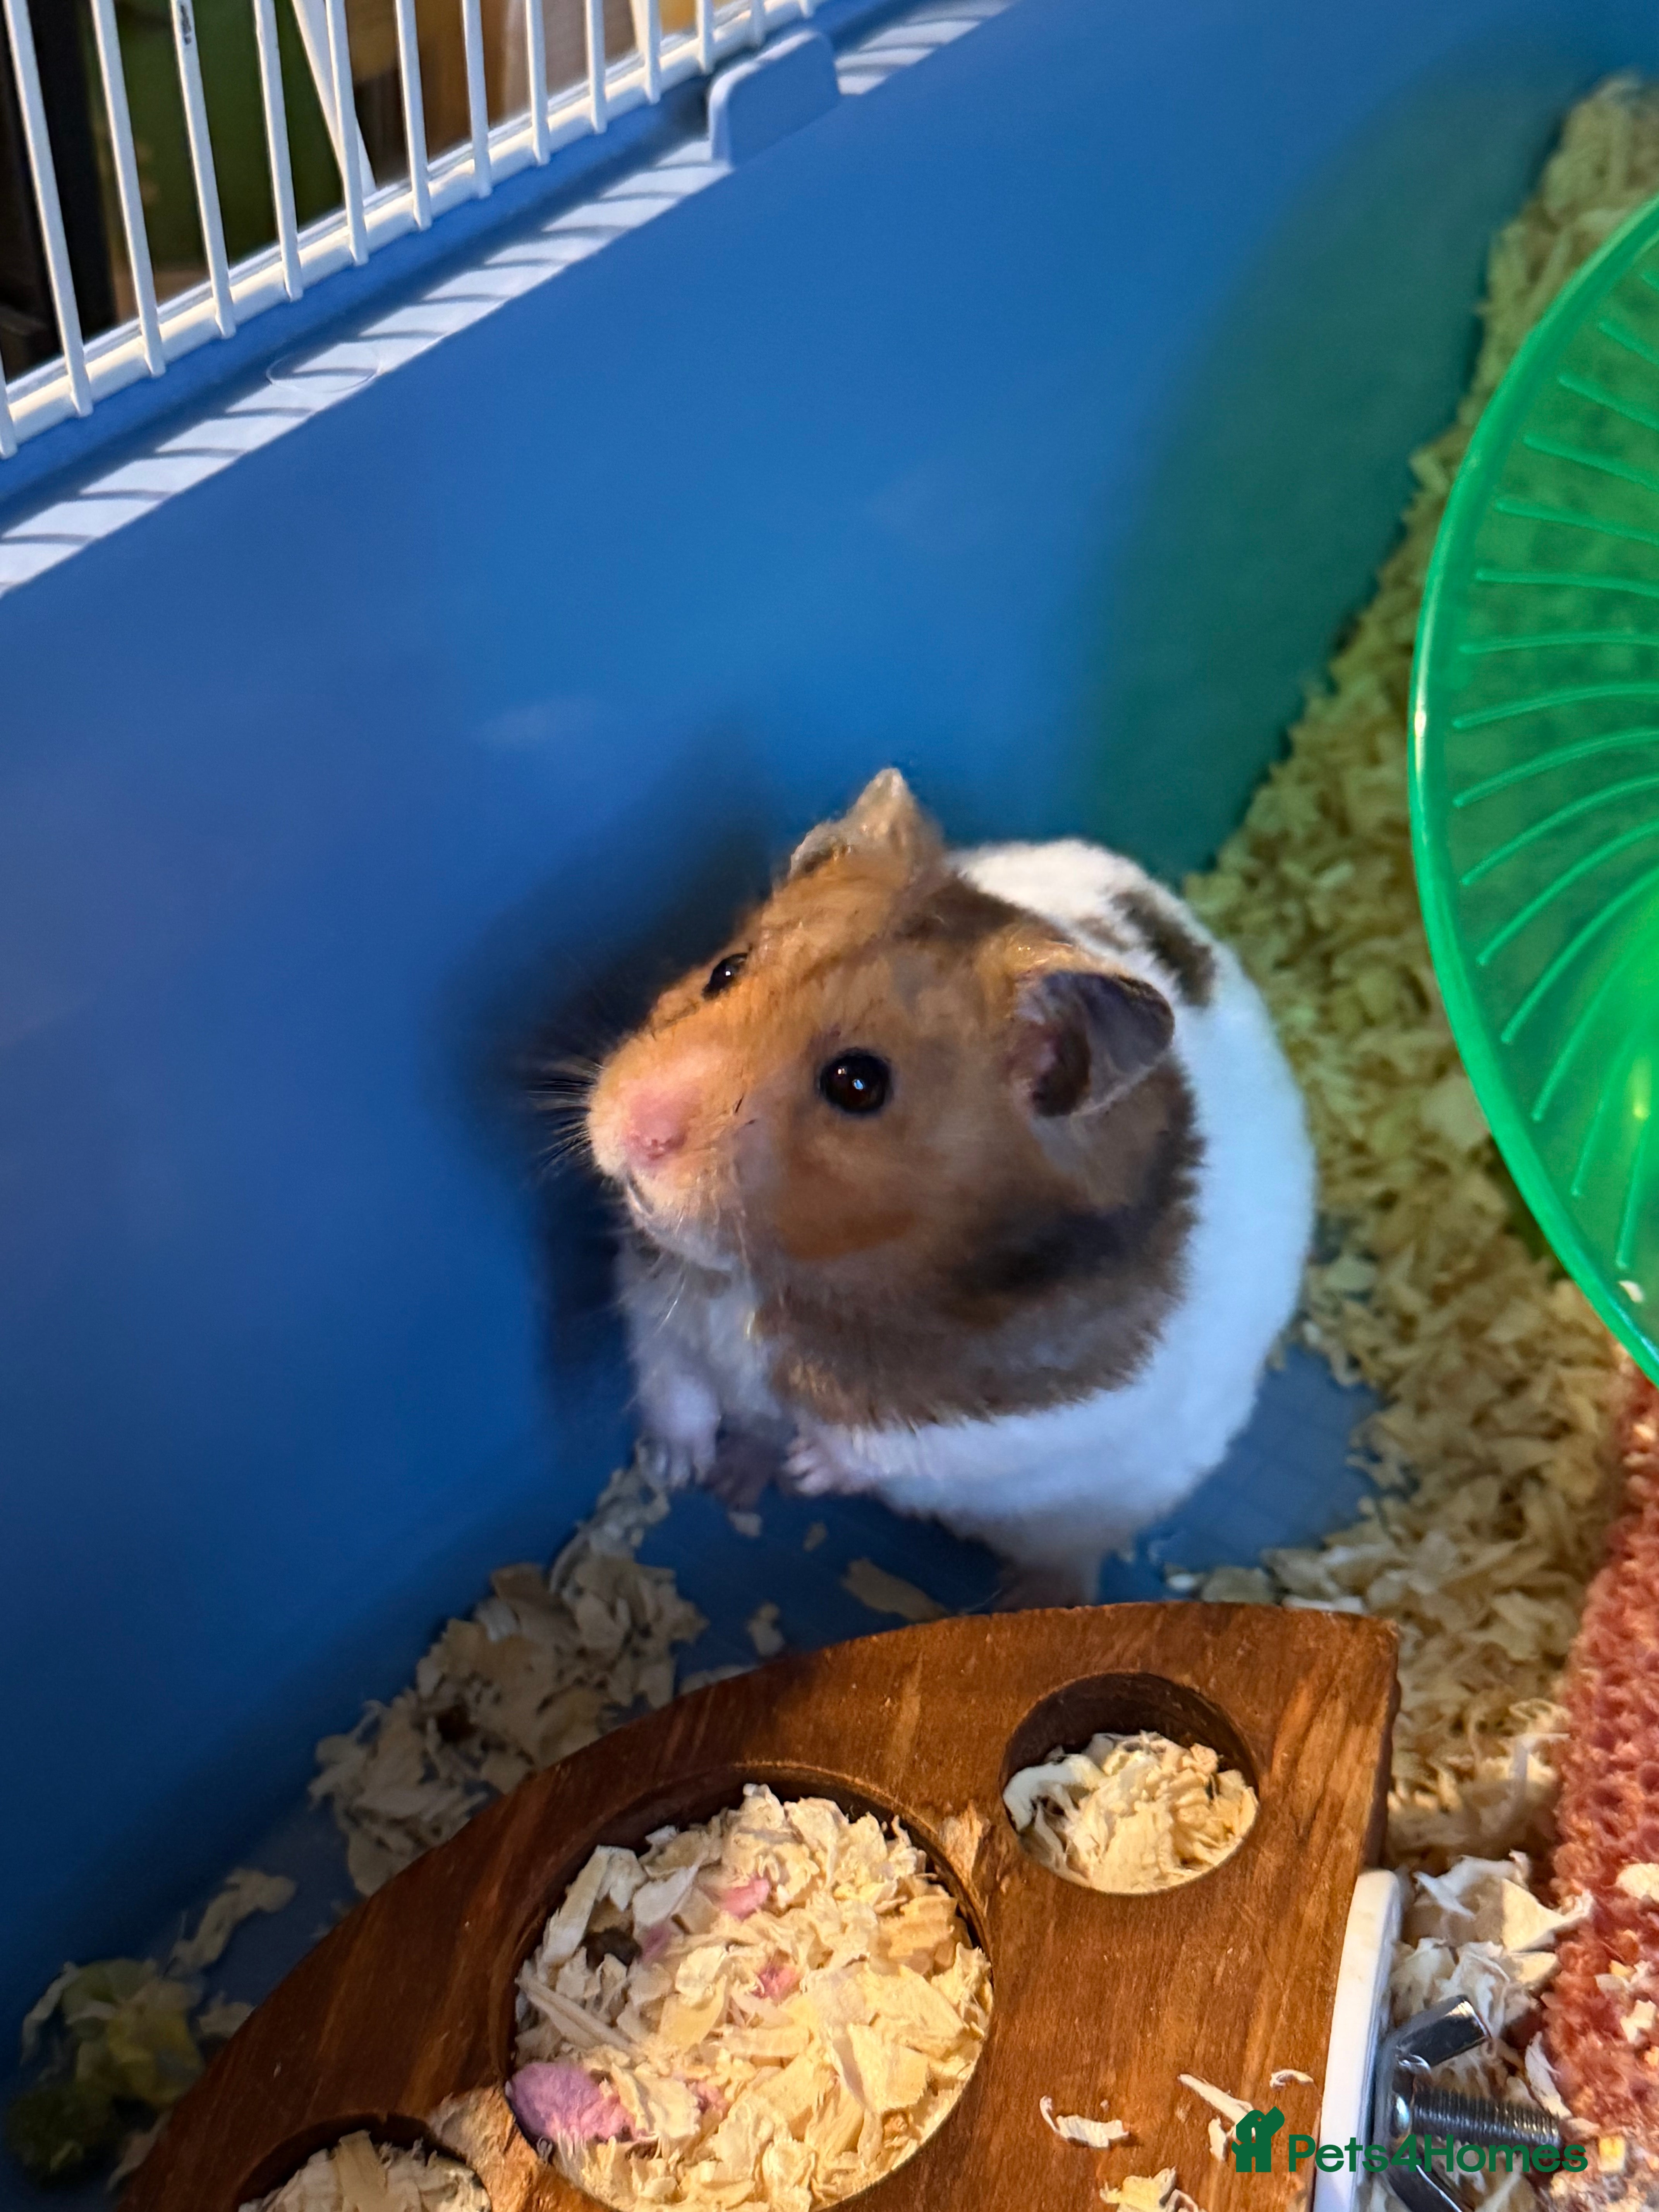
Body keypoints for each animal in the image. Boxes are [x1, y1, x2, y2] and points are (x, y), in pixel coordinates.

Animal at [584, 770, 1314, 1601]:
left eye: (858, 1083)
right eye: (725, 970)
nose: (636, 1132)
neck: (764, 1279)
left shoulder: (1021, 1420)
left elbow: (891, 1449)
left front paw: (807, 1465)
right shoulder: (647, 1292)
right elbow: (668, 1373)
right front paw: (674, 1468)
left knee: (1068, 1554)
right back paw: (734, 1477)